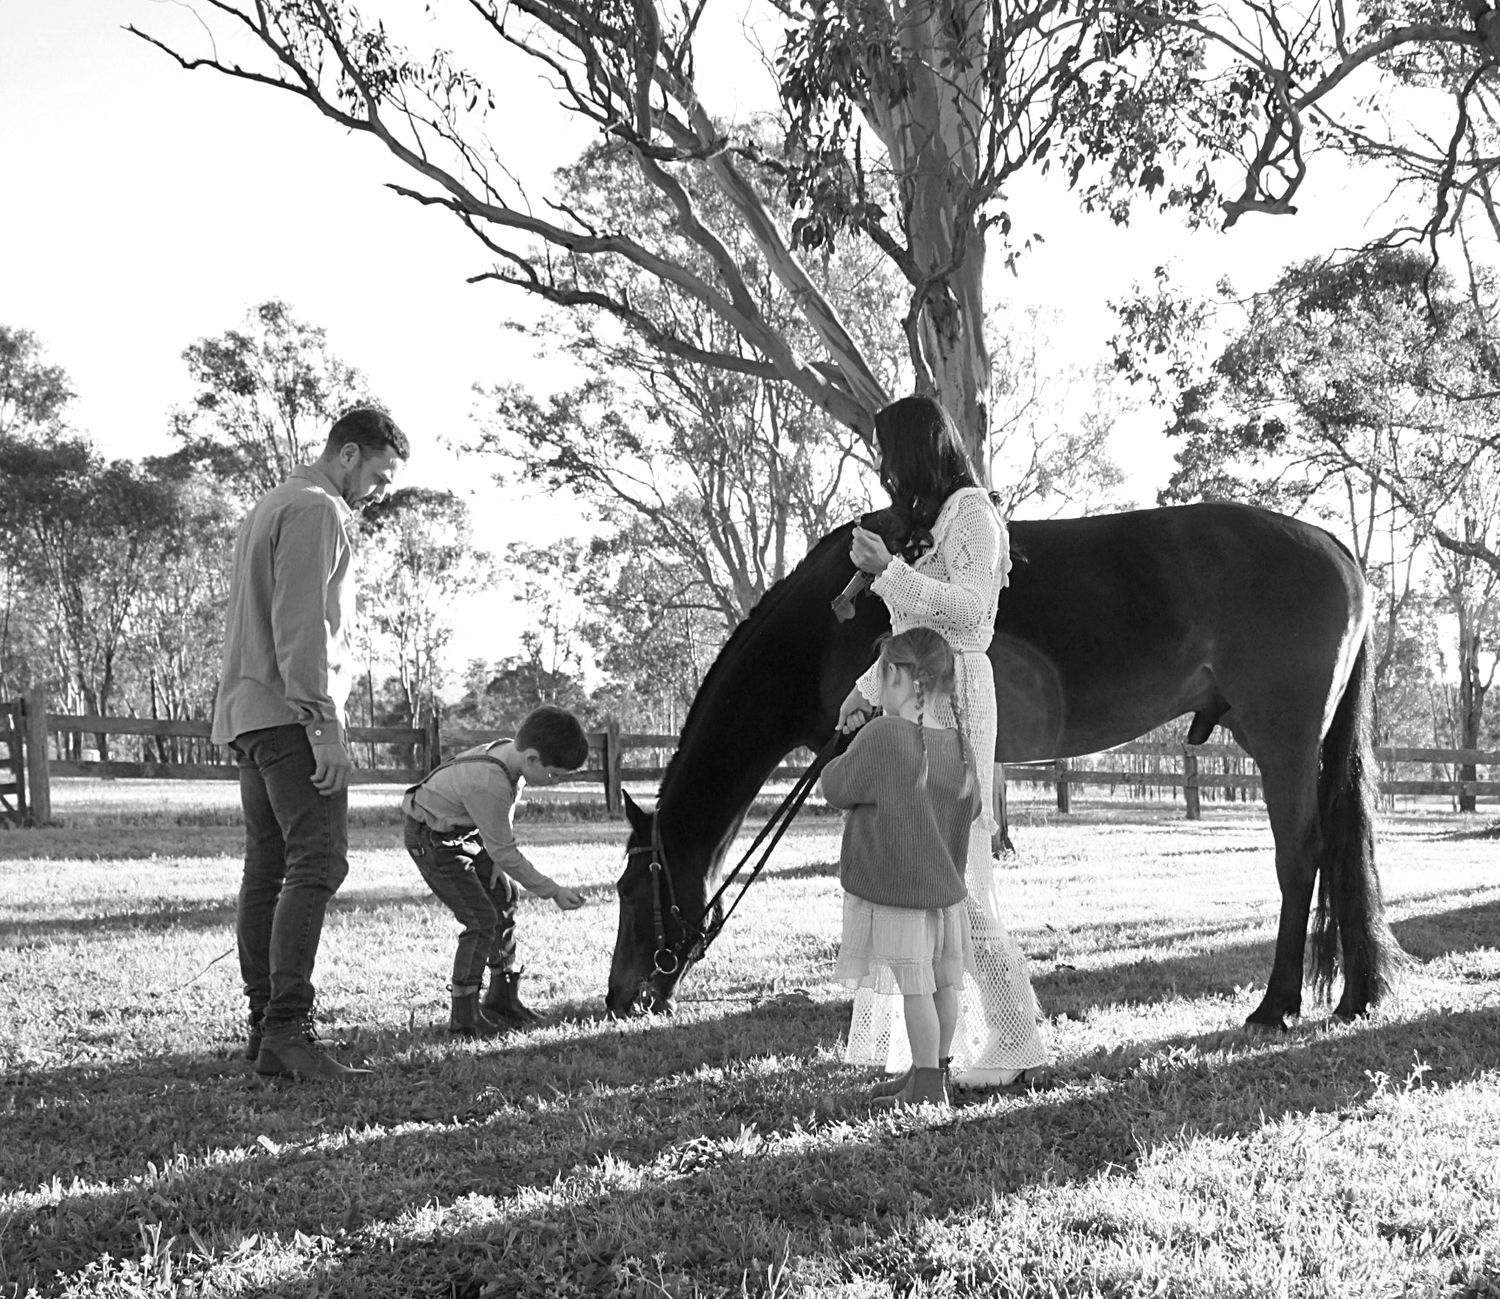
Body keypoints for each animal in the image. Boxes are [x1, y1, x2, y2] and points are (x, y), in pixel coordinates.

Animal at [607, 501, 1406, 1030]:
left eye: (630, 891)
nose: (620, 998)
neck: (821, 629)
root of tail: (1335, 548)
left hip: (1284, 744)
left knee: (1300, 859)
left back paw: (1276, 1005)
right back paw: (1354, 994)